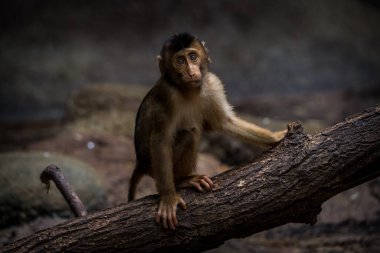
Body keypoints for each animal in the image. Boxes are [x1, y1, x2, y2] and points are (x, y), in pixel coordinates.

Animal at [129, 32, 286, 230]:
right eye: (180, 61)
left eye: (193, 57)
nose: (191, 71)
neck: (188, 90)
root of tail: (140, 163)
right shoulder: (167, 93)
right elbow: (160, 141)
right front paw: (168, 198)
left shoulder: (212, 83)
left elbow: (225, 122)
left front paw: (276, 137)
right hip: (151, 165)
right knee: (189, 134)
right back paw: (182, 180)